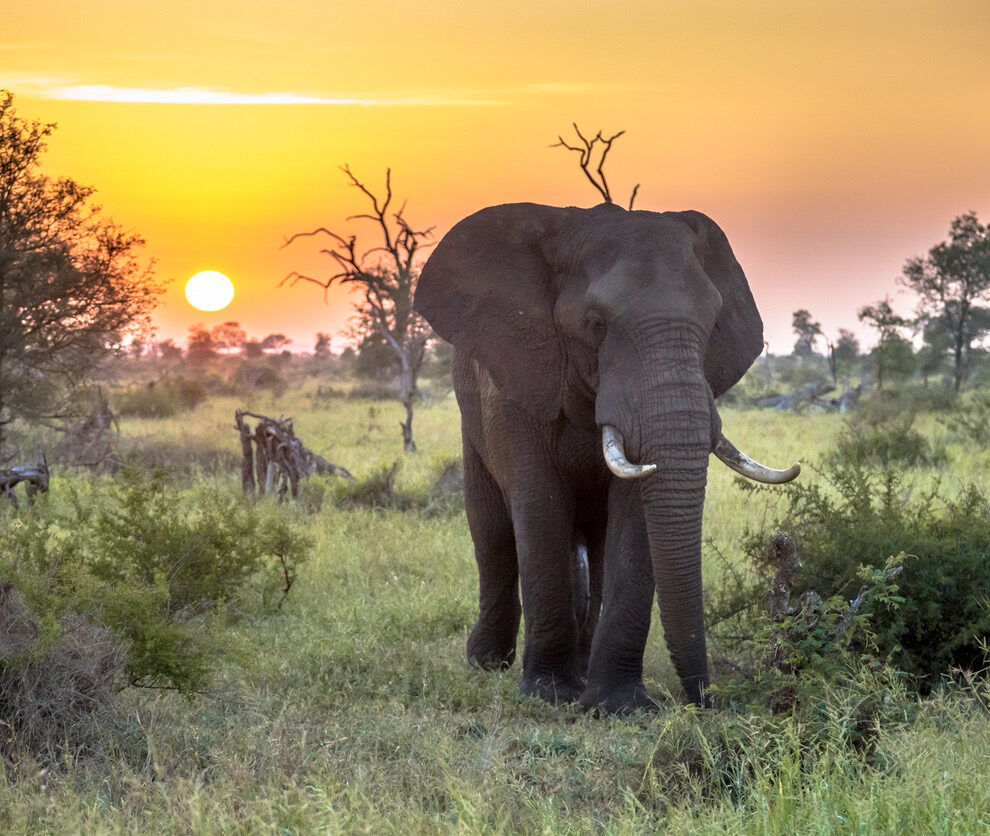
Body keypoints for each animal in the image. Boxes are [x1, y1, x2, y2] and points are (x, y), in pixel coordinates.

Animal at [414, 202, 804, 712]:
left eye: (713, 322)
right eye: (595, 324)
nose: (708, 700)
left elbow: (634, 517)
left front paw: (619, 706)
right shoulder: (515, 383)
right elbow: (539, 505)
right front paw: (549, 695)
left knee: (593, 550)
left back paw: (581, 671)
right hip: (471, 421)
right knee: (492, 532)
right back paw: (488, 663)